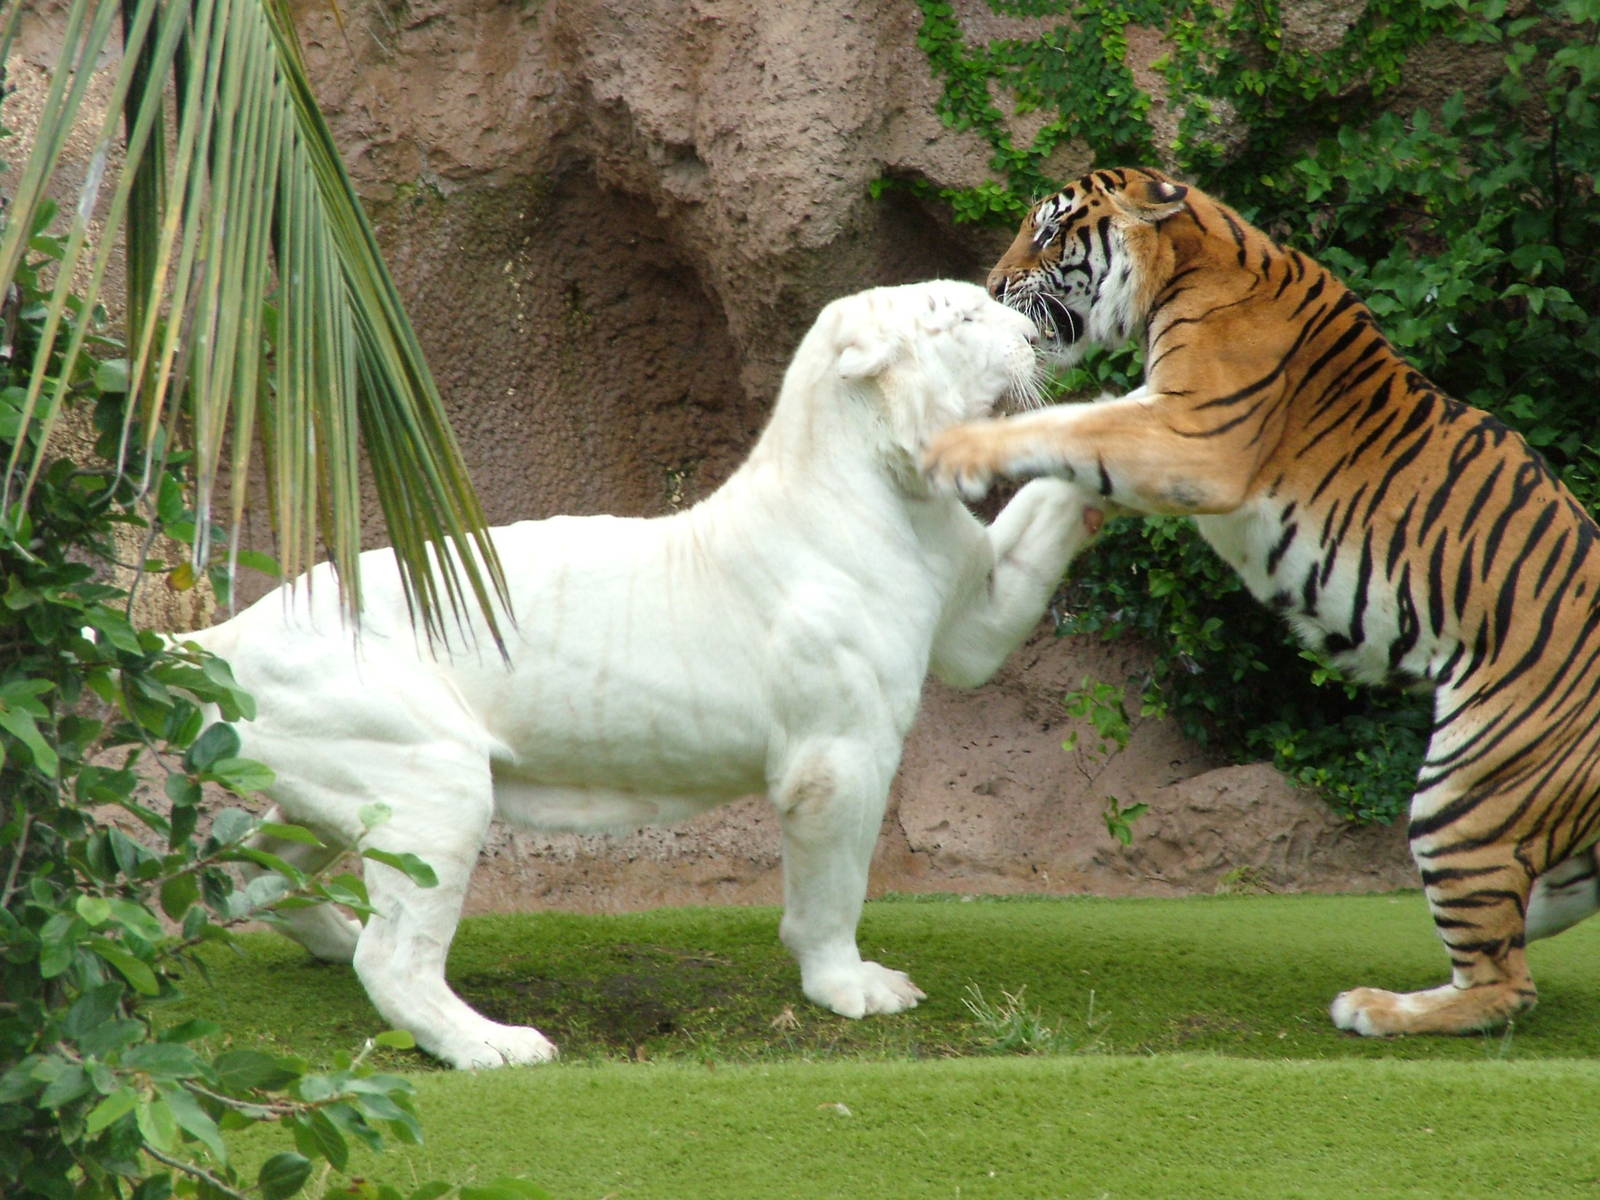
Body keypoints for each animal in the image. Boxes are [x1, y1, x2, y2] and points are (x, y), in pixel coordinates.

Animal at [922, 165, 1600, 1037]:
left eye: (1046, 231)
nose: (992, 285)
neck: (1191, 263)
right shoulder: (1163, 425)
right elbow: (1087, 427)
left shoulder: (1194, 439)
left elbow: (1073, 422)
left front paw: (963, 450)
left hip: (1467, 788)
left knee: (1504, 984)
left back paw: (1377, 1008)